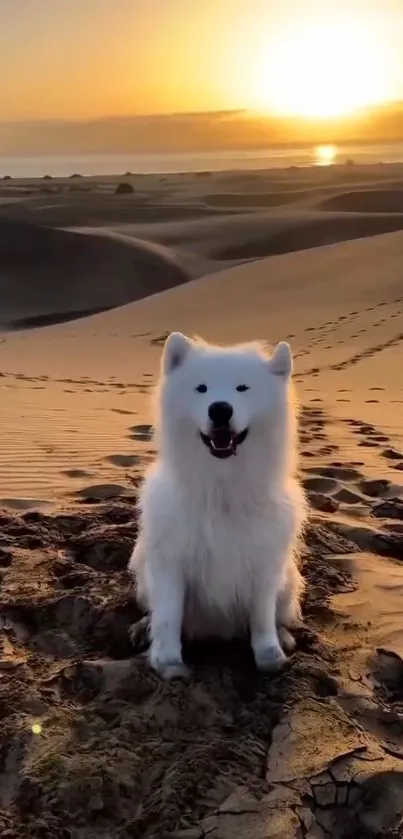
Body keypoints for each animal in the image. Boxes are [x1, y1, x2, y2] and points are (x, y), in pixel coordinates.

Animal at [128, 332, 308, 680]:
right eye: (201, 388)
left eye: (242, 388)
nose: (220, 409)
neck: (222, 487)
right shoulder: (171, 561)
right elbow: (168, 615)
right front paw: (168, 661)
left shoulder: (264, 565)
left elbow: (262, 617)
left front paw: (268, 654)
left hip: (288, 578)